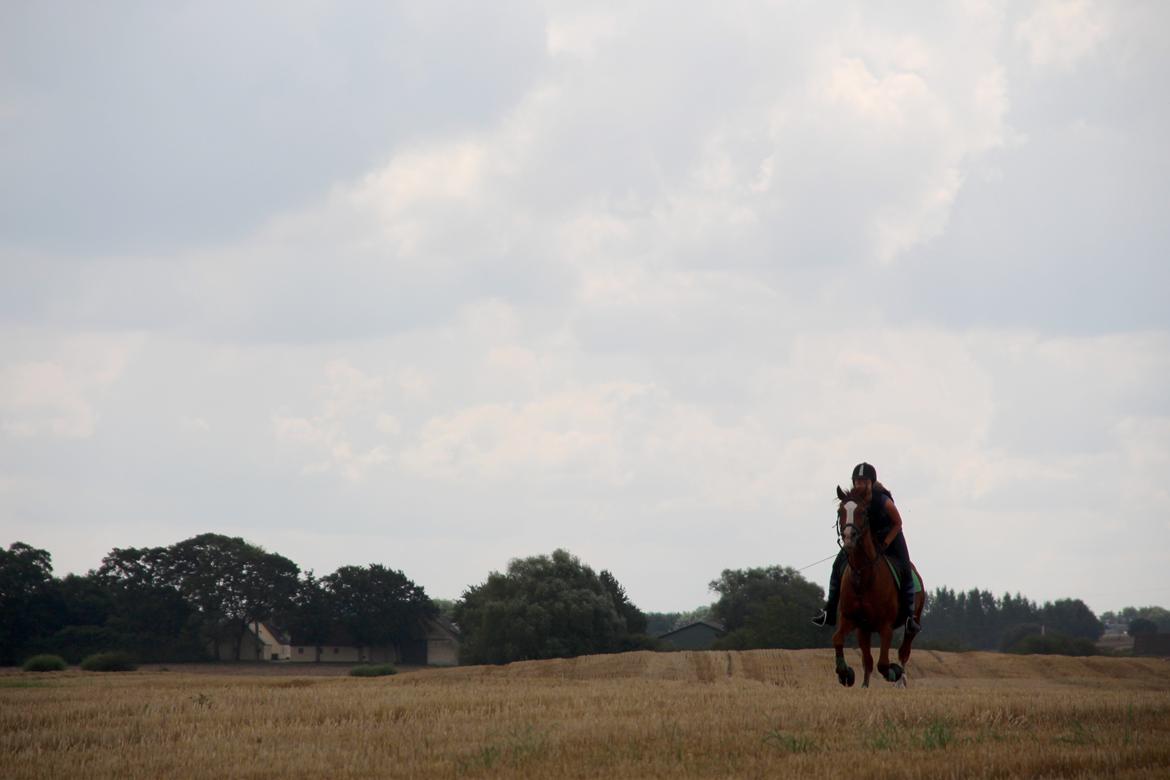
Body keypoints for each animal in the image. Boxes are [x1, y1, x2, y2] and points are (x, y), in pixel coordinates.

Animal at [833, 484, 921, 692]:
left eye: (862, 512)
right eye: (840, 511)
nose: (849, 537)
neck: (863, 574)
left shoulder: (886, 626)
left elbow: (883, 663)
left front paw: (893, 672)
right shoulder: (853, 621)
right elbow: (839, 640)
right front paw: (845, 674)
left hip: (912, 621)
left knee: (904, 651)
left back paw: (901, 681)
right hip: (864, 630)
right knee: (869, 660)